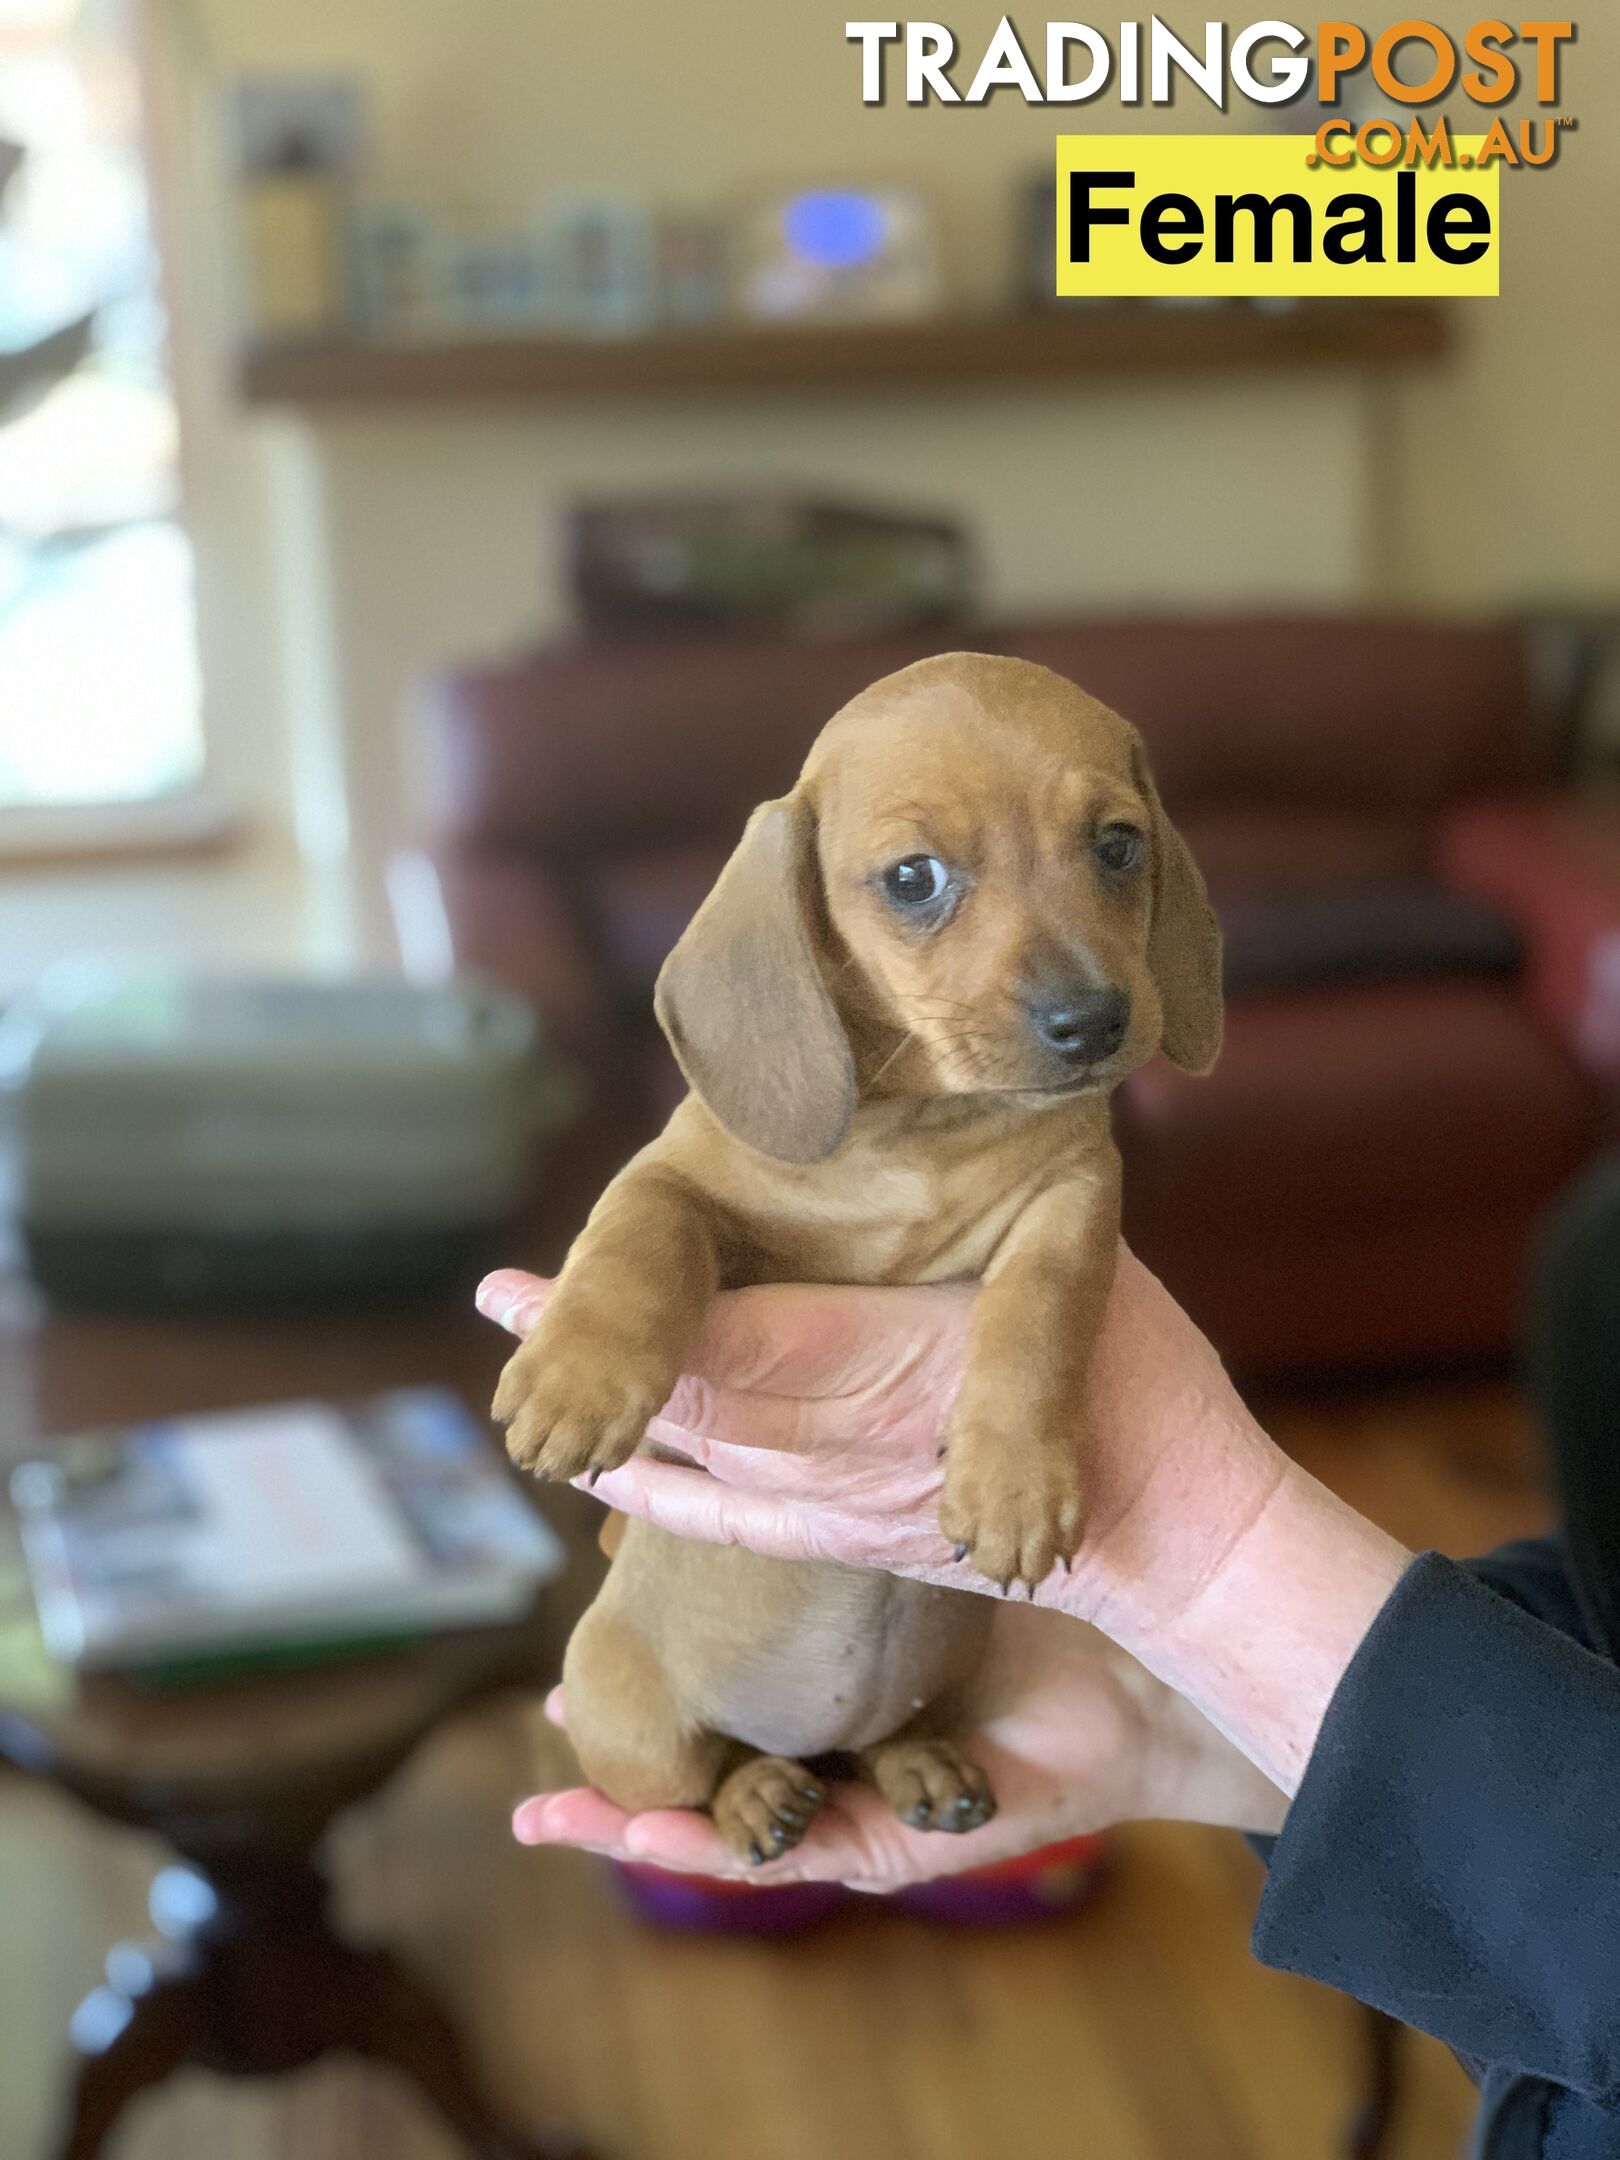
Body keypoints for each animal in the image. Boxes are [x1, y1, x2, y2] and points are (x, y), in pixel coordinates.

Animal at [494, 648, 1218, 1866]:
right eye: (914, 878)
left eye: (1118, 845)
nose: (1093, 1023)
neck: (916, 1132)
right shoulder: (680, 1182)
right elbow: (642, 1232)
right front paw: (577, 1375)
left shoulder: (1073, 1201)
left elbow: (1040, 1312)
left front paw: (1016, 1476)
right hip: (620, 1711)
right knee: (691, 1781)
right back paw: (755, 1794)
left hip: (946, 1677)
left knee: (879, 1742)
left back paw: (913, 1764)